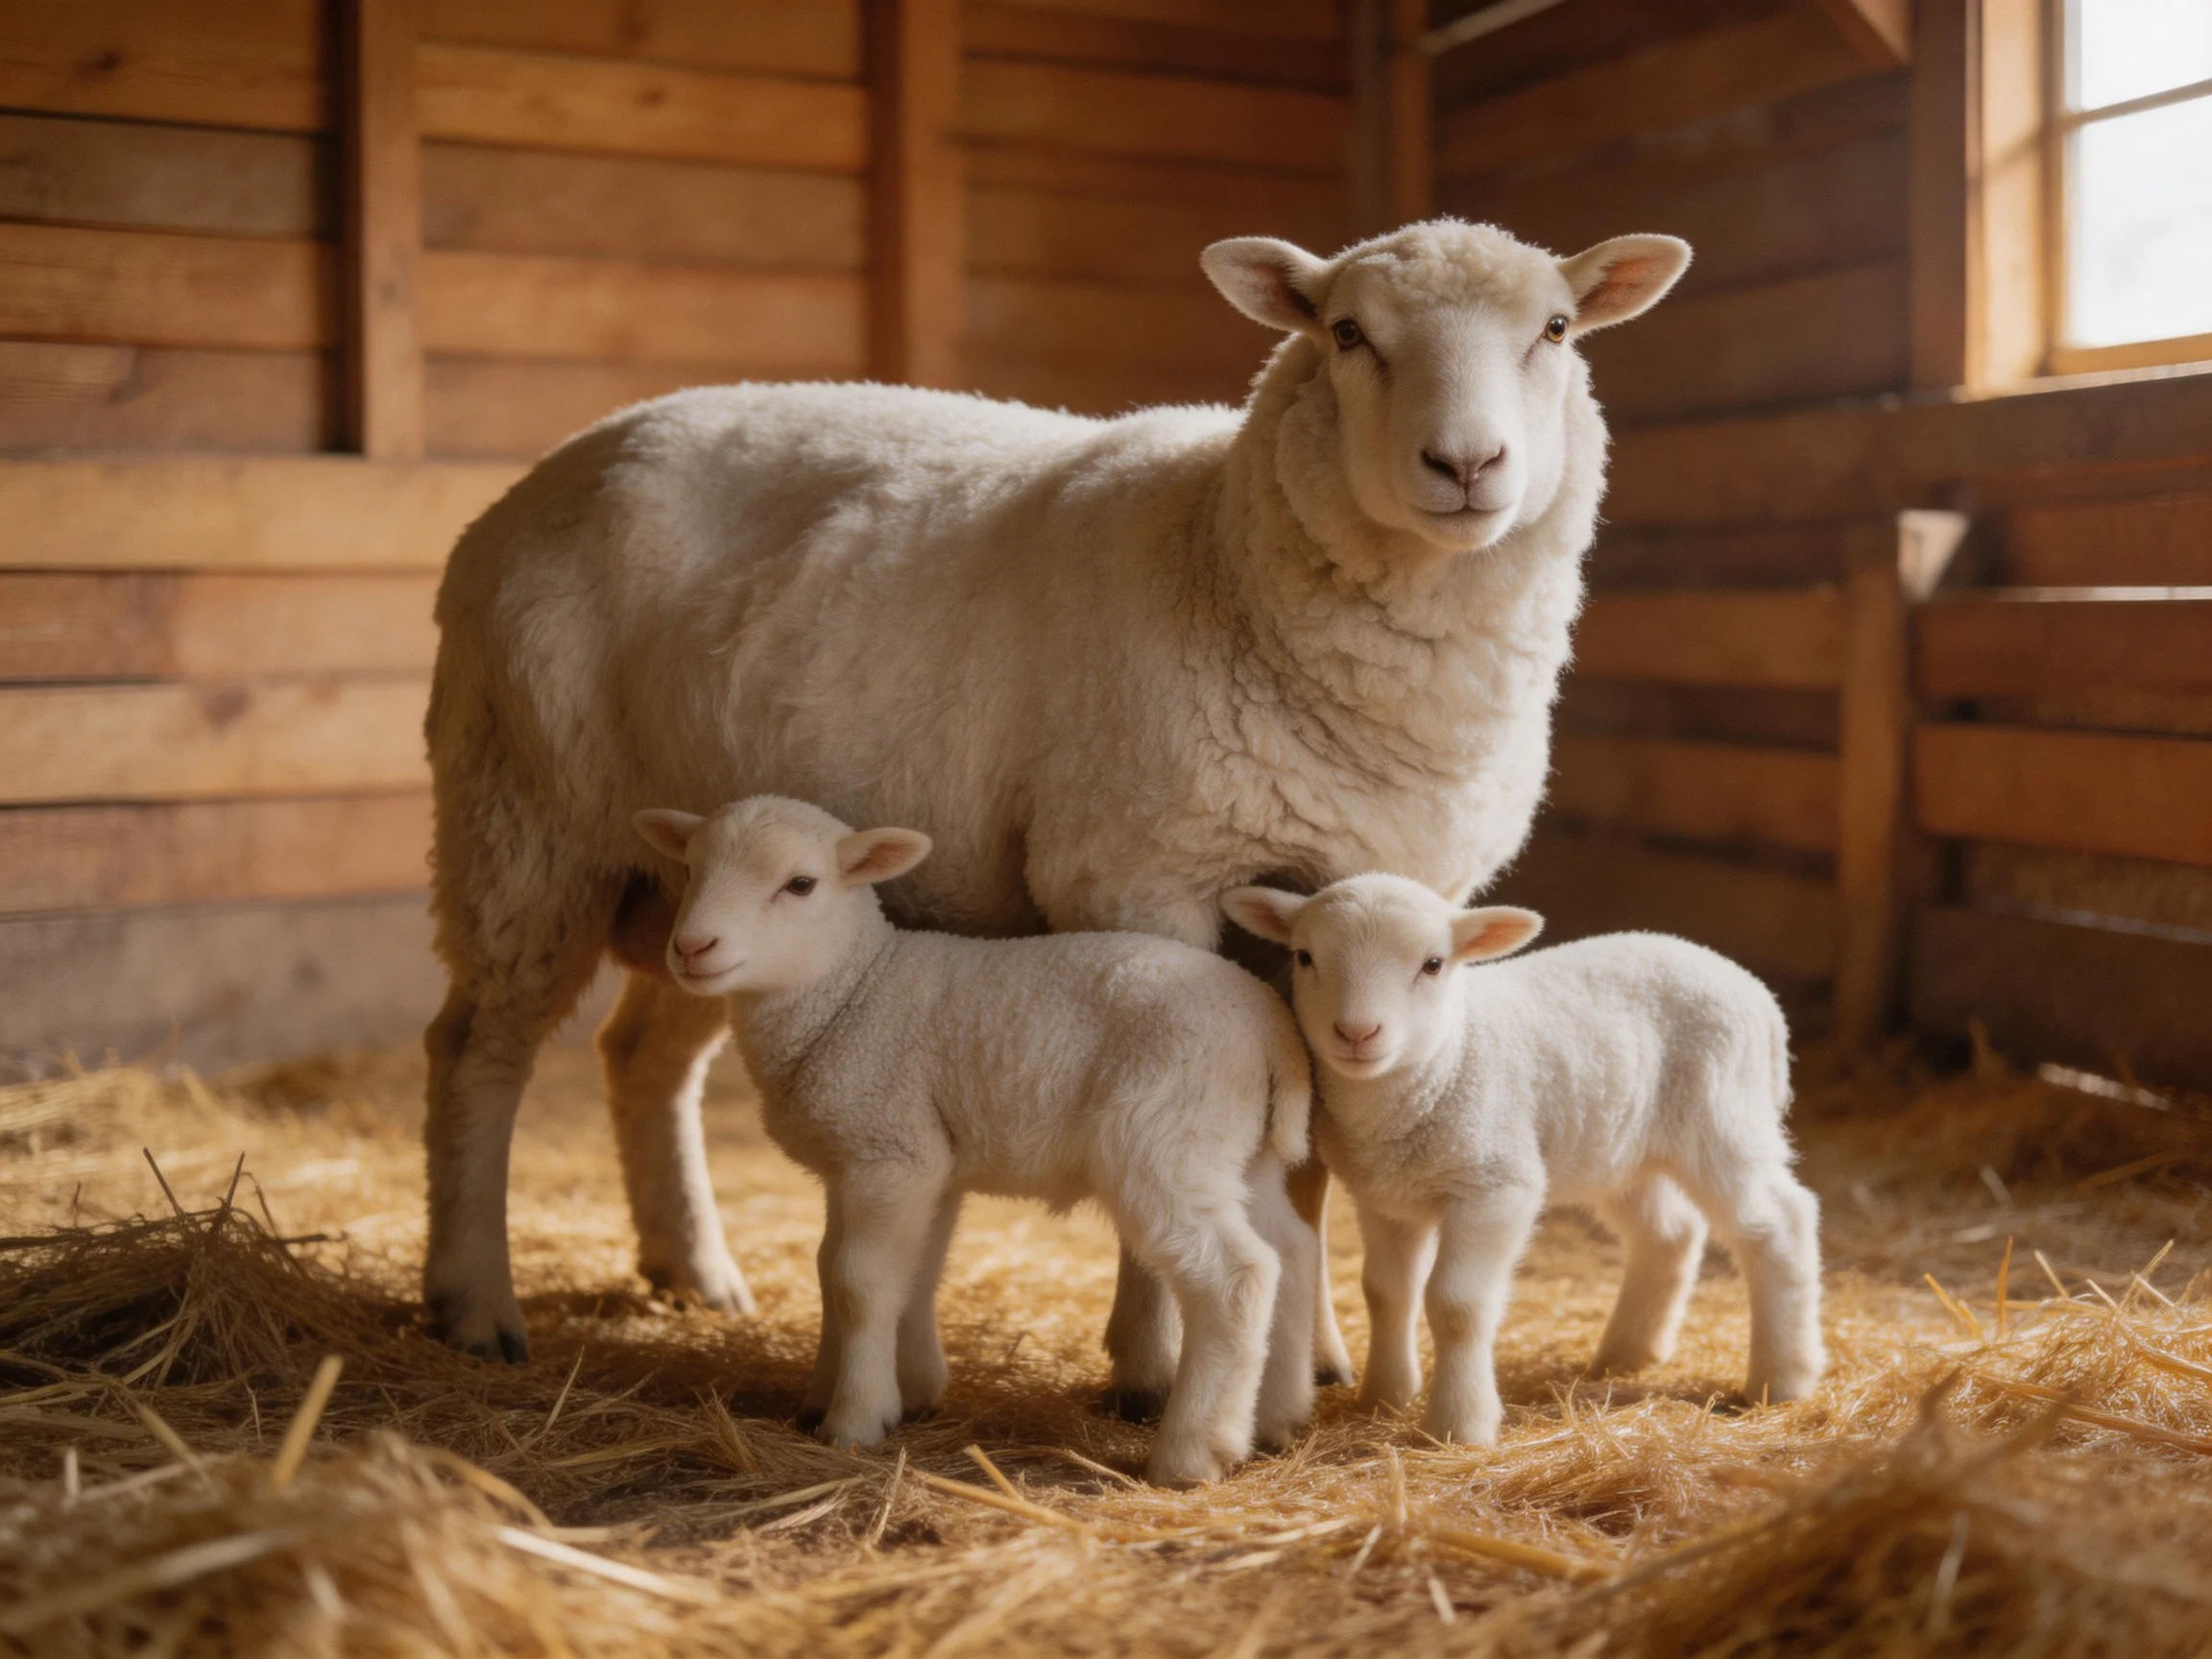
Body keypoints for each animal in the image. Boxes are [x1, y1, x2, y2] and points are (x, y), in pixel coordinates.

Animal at [420, 217, 1693, 1394]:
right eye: (1346, 334)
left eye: (1557, 330)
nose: (1466, 464)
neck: (1223, 556)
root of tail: (552, 467)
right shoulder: (1136, 873)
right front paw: (1154, 1360)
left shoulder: (1365, 902)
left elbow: (1309, 1155)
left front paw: (1314, 1357)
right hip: (525, 816)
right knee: (476, 1050)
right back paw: (474, 1303)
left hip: (716, 898)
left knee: (643, 1054)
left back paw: (693, 1272)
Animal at [632, 795, 1319, 1484]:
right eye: (689, 869)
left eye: (800, 884)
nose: (691, 947)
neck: (853, 987)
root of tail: (1269, 1026)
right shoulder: (902, 1161)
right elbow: (855, 1269)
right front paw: (873, 1393)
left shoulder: (891, 1152)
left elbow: (858, 1283)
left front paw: (855, 1419)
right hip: (1236, 1150)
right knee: (1290, 1250)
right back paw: (1277, 1417)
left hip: (1166, 1138)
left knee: (1237, 1276)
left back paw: (1192, 1452)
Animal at [1221, 876, 1825, 1446]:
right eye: (1304, 956)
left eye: (1433, 964)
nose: (1356, 1033)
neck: (1444, 1058)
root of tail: (1754, 992)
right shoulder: (1385, 1198)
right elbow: (1386, 1294)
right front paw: (1383, 1397)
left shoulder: (1496, 1185)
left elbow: (1456, 1304)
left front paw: (1458, 1425)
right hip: (1623, 1147)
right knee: (1669, 1233)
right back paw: (1627, 1355)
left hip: (1722, 1118)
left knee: (1778, 1223)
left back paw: (1783, 1377)